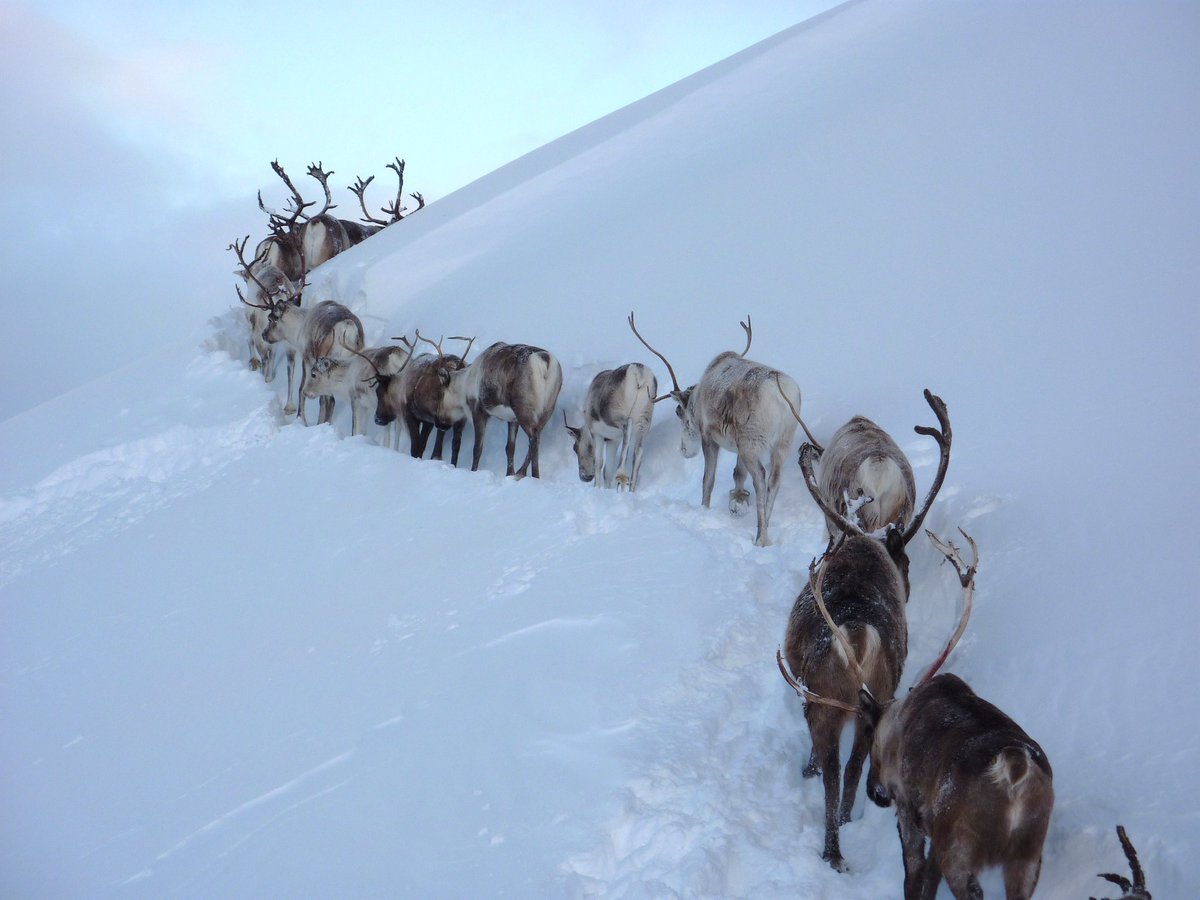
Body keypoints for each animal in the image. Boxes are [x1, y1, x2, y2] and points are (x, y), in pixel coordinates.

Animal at [437, 340, 563, 478]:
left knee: (533, 439)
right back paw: (521, 473)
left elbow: (477, 449)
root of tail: (545, 361)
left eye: (441, 395)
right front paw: (509, 473)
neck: (464, 385)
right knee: (536, 437)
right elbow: (510, 447)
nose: (439, 424)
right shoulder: (512, 419)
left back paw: (532, 475)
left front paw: (473, 470)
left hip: (523, 408)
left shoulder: (478, 410)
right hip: (548, 407)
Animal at [563, 363, 657, 491]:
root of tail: (639, 373)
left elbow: (599, 463)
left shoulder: (597, 433)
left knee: (627, 425)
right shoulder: (613, 440)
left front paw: (597, 487)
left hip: (616, 416)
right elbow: (607, 471)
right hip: (645, 421)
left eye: (575, 448)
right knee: (638, 453)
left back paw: (621, 475)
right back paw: (631, 489)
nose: (584, 477)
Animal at [628, 312, 803, 547]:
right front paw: (737, 502)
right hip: (783, 442)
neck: (696, 399)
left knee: (760, 476)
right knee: (774, 480)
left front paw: (704, 508)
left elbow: (708, 479)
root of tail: (781, 398)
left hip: (752, 442)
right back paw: (765, 526)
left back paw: (761, 537)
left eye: (679, 413)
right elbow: (738, 474)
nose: (684, 451)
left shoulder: (708, 436)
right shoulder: (738, 446)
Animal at [776, 391, 951, 871]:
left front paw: (808, 769)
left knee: (835, 771)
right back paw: (846, 822)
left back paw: (832, 849)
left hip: (829, 703)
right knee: (855, 767)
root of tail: (856, 639)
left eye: (904, 562)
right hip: (874, 703)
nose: (906, 589)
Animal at [856, 532, 1055, 900]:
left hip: (960, 848)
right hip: (1026, 857)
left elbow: (914, 871)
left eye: (867, 733)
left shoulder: (908, 805)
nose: (874, 792)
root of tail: (1015, 772)